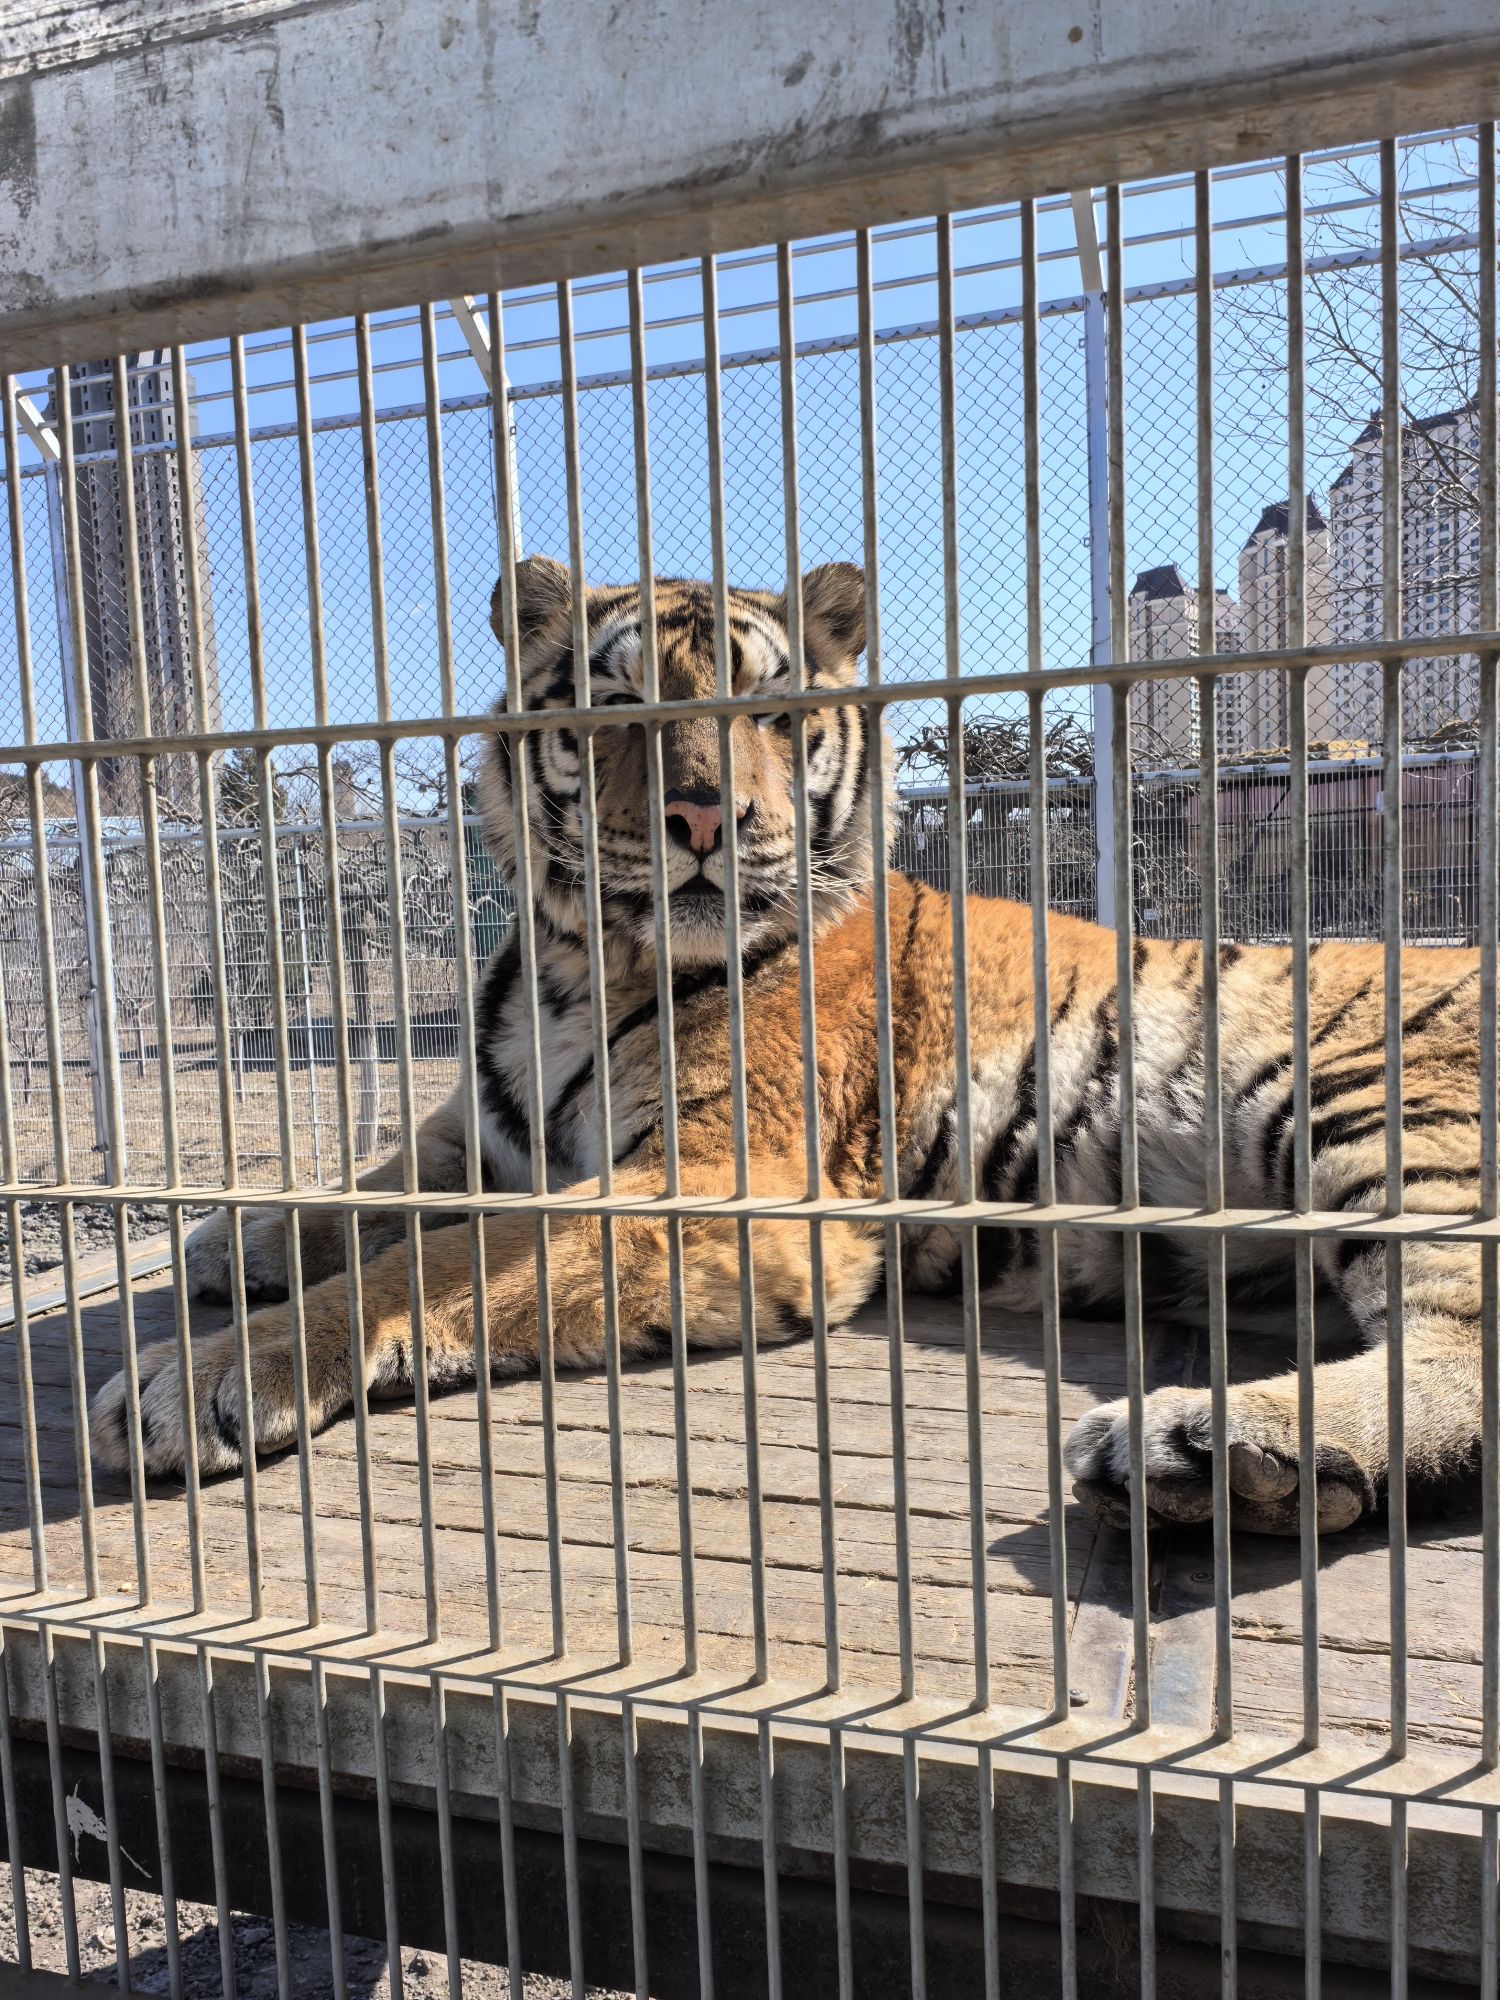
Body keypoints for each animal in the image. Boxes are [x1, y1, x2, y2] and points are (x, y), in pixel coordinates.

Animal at [91, 555, 1489, 1540]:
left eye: (766, 712)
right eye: (620, 705)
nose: (709, 812)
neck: (574, 965)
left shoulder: (728, 1178)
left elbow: (437, 1262)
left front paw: (196, 1381)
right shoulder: (494, 1126)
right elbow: (375, 1187)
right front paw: (227, 1242)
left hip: (1375, 1094)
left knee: (1463, 1349)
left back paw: (1202, 1447)